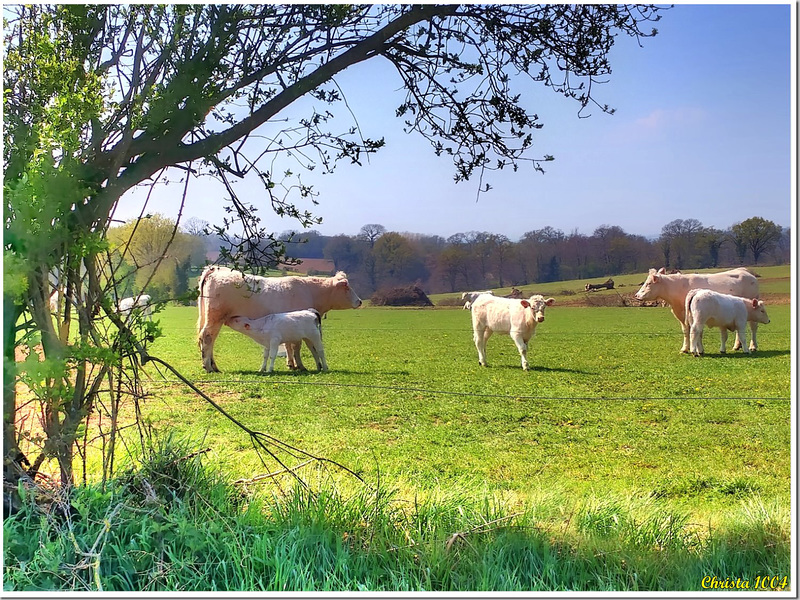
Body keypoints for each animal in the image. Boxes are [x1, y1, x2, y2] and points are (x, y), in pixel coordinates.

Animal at [197, 266, 362, 372]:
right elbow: (296, 347)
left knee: (208, 339)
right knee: (207, 337)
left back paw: (213, 366)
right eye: (347, 287)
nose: (360, 301)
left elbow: (289, 346)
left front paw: (291, 364)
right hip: (215, 318)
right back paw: (209, 367)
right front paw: (299, 366)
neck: (310, 290)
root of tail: (217, 269)